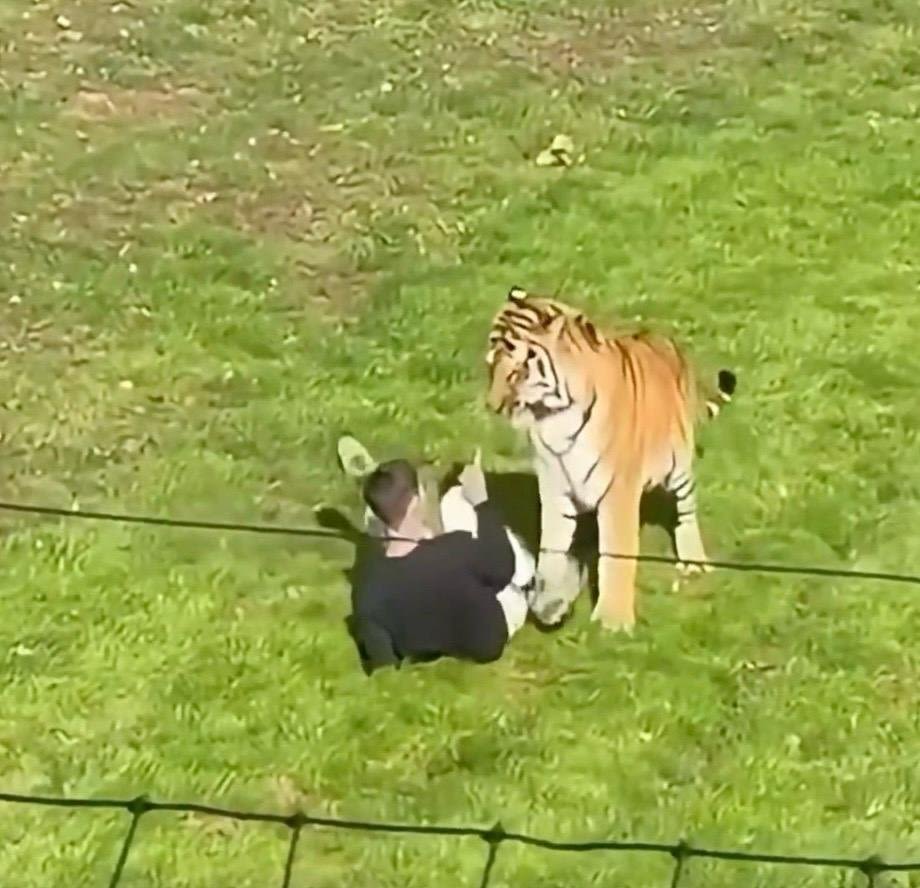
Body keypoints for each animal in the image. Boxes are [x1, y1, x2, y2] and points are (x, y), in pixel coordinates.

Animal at [485, 285, 737, 632]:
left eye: (518, 370)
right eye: (490, 364)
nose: (492, 405)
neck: (553, 418)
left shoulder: (618, 491)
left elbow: (616, 555)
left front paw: (613, 621)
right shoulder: (554, 488)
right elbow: (551, 550)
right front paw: (549, 605)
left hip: (679, 467)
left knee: (686, 512)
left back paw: (694, 561)